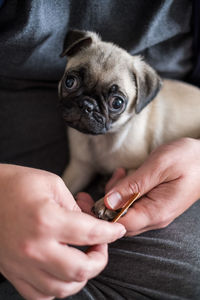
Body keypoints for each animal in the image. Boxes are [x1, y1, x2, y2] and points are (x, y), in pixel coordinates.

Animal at [58, 29, 200, 220]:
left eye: (117, 103)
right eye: (70, 82)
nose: (87, 105)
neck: (101, 139)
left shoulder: (136, 166)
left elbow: (124, 181)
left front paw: (105, 205)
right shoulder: (81, 168)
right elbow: (66, 184)